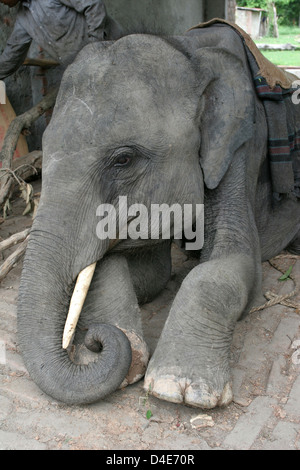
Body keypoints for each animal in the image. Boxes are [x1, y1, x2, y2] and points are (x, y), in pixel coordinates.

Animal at [17, 23, 300, 410]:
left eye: (123, 159)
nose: (93, 342)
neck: (189, 50)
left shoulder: (241, 149)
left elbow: (232, 265)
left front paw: (179, 388)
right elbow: (152, 273)